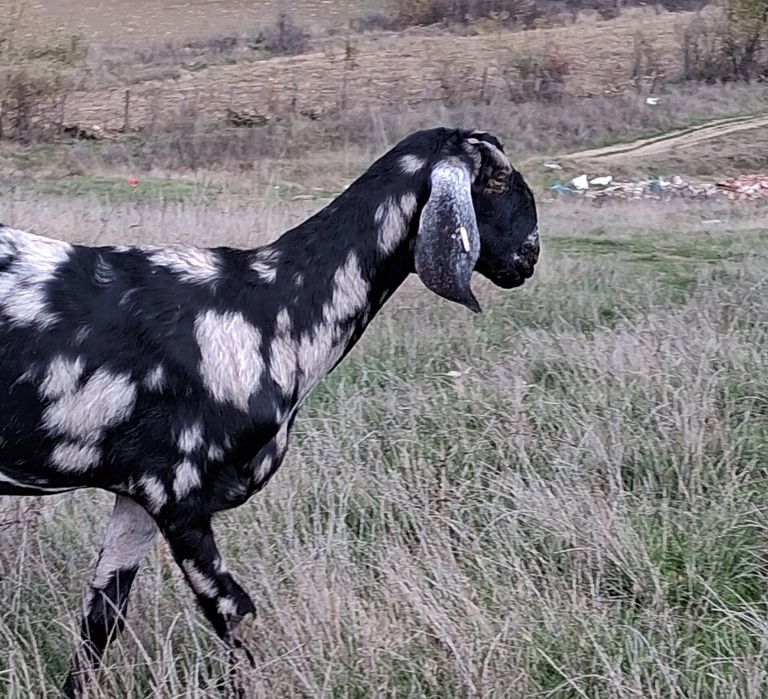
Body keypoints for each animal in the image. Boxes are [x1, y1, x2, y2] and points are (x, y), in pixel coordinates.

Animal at [0, 127, 539, 697]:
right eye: (496, 178)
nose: (530, 254)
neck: (275, 306)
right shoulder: (178, 492)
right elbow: (234, 611)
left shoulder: (136, 496)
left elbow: (102, 616)